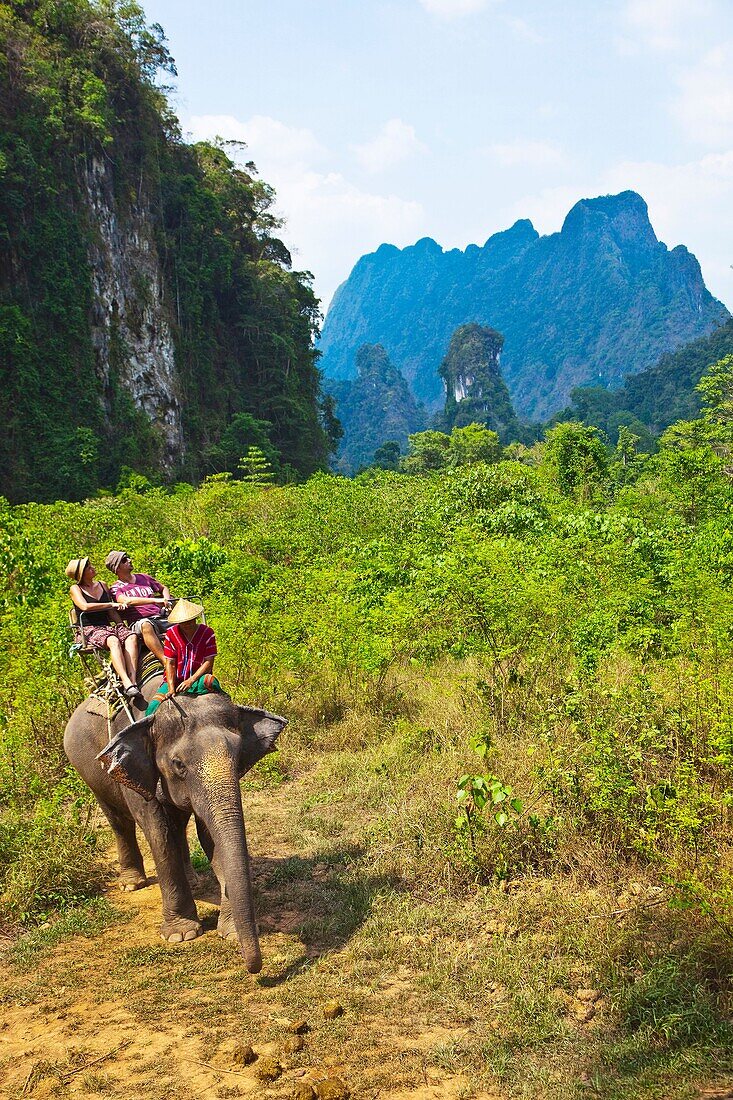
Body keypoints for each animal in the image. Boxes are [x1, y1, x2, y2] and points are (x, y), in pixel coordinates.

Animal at [63, 673, 286, 976]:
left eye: (239, 754)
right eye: (178, 764)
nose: (254, 969)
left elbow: (209, 835)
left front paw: (229, 932)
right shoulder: (134, 769)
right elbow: (157, 832)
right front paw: (181, 935)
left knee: (178, 824)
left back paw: (192, 879)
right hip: (88, 772)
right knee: (119, 821)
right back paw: (131, 884)